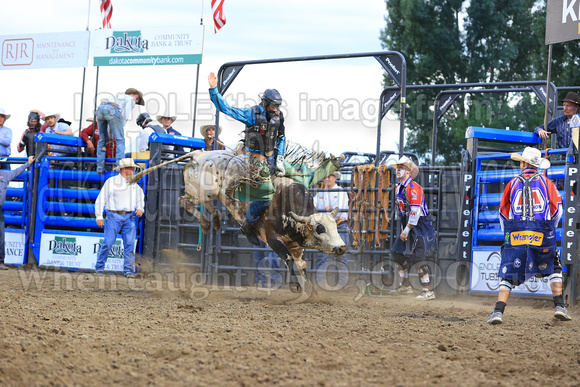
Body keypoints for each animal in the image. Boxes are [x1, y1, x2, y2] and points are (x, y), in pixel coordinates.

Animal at [133, 150, 344, 292]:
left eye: (335, 227)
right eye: (320, 228)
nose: (341, 247)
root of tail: (199, 153)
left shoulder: (296, 245)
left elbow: (301, 265)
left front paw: (309, 289)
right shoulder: (273, 238)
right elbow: (288, 259)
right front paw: (295, 286)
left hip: (210, 194)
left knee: (205, 203)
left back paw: (215, 220)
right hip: (202, 192)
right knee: (183, 200)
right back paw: (207, 223)